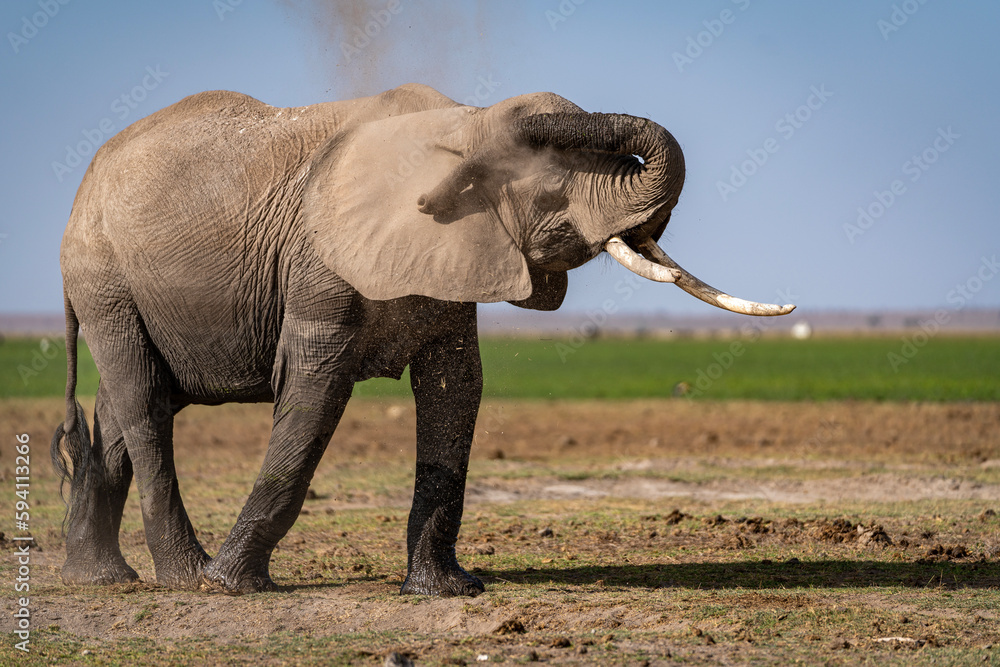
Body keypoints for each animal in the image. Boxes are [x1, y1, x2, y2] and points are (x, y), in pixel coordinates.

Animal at [52, 83, 794, 597]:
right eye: (553, 188)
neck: (458, 118)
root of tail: (84, 180)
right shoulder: (320, 263)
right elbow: (314, 391)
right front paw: (231, 588)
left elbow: (456, 390)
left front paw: (447, 592)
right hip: (104, 277)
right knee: (144, 402)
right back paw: (184, 577)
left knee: (117, 412)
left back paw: (100, 578)